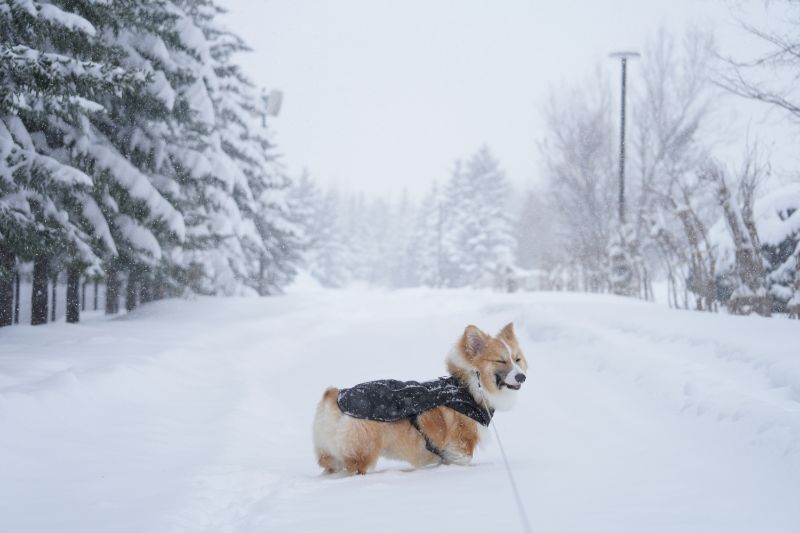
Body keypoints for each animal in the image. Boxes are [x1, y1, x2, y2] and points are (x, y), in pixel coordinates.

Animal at [310, 320, 524, 474]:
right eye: (500, 360)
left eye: (517, 359)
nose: (522, 376)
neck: (469, 386)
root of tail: (336, 396)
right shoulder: (461, 444)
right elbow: (462, 459)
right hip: (363, 453)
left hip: (331, 455)